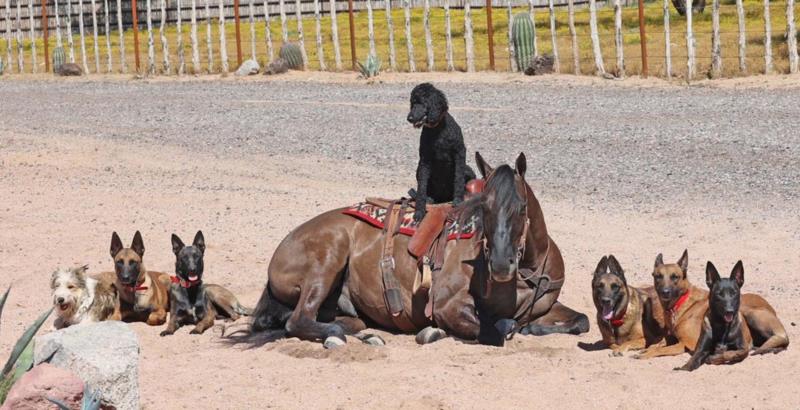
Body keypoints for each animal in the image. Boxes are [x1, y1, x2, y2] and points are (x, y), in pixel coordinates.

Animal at [250, 152, 589, 347]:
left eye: (521, 207)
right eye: (484, 207)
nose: (501, 265)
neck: (526, 274)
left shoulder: (545, 305)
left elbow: (581, 320)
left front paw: (535, 330)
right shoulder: (447, 306)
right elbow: (497, 328)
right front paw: (433, 332)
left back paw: (365, 333)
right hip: (328, 258)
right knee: (298, 320)